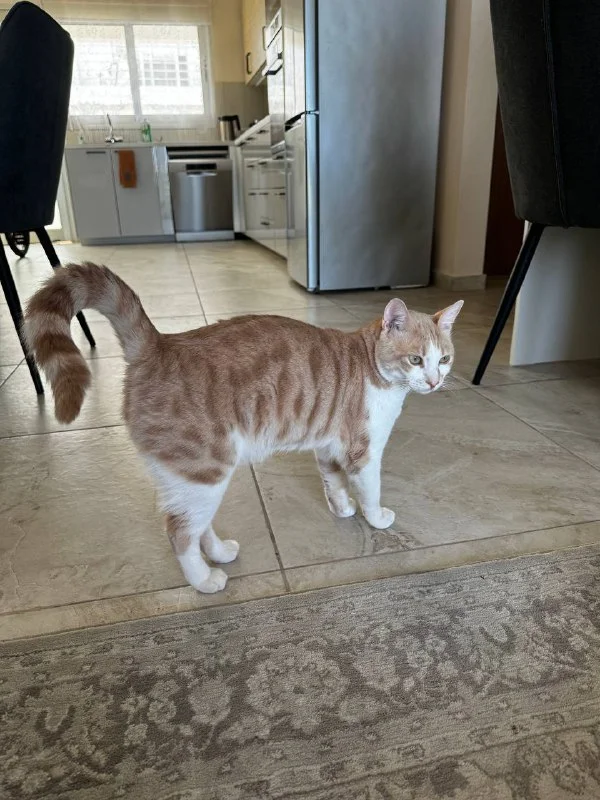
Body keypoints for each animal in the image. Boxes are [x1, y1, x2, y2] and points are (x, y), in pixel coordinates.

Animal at [24, 263, 463, 593]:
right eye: (415, 360)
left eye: (444, 360)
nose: (434, 382)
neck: (372, 366)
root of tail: (160, 345)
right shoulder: (364, 453)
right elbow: (370, 491)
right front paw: (376, 518)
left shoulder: (328, 447)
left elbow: (333, 482)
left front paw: (341, 509)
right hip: (205, 470)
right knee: (179, 533)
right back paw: (204, 579)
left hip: (189, 480)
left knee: (194, 524)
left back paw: (219, 552)